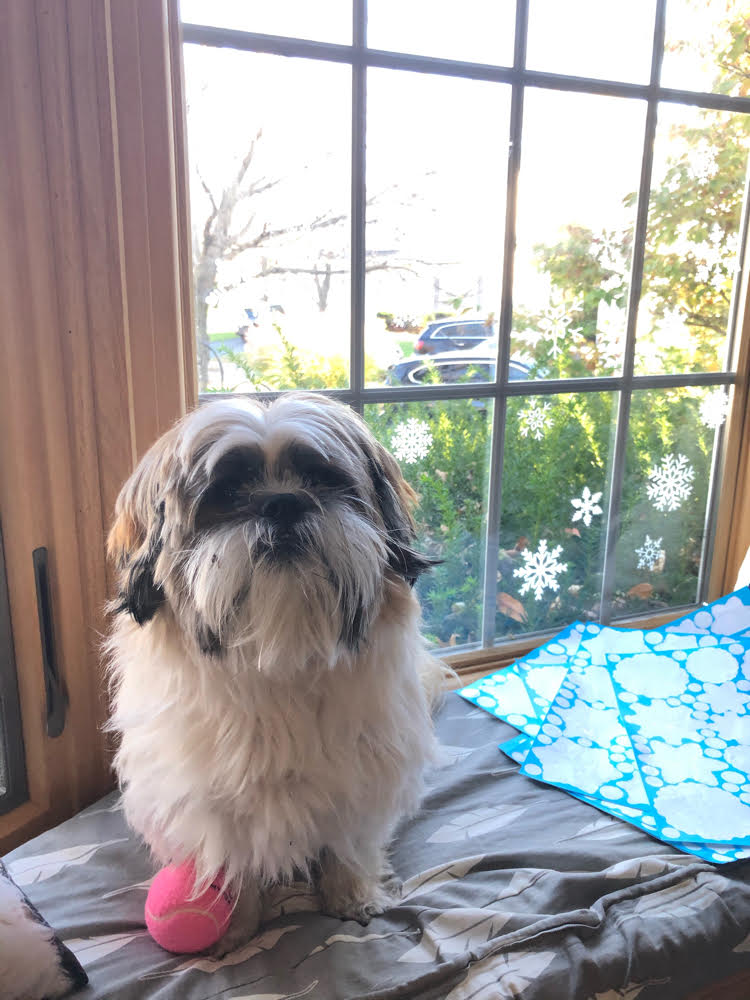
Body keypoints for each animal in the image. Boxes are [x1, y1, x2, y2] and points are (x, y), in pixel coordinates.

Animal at [104, 390, 446, 944]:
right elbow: (233, 856)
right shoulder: (211, 801)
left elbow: (348, 841)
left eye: (323, 479)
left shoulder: (362, 775)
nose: (283, 502)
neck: (281, 652)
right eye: (226, 492)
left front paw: (352, 893)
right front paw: (238, 924)